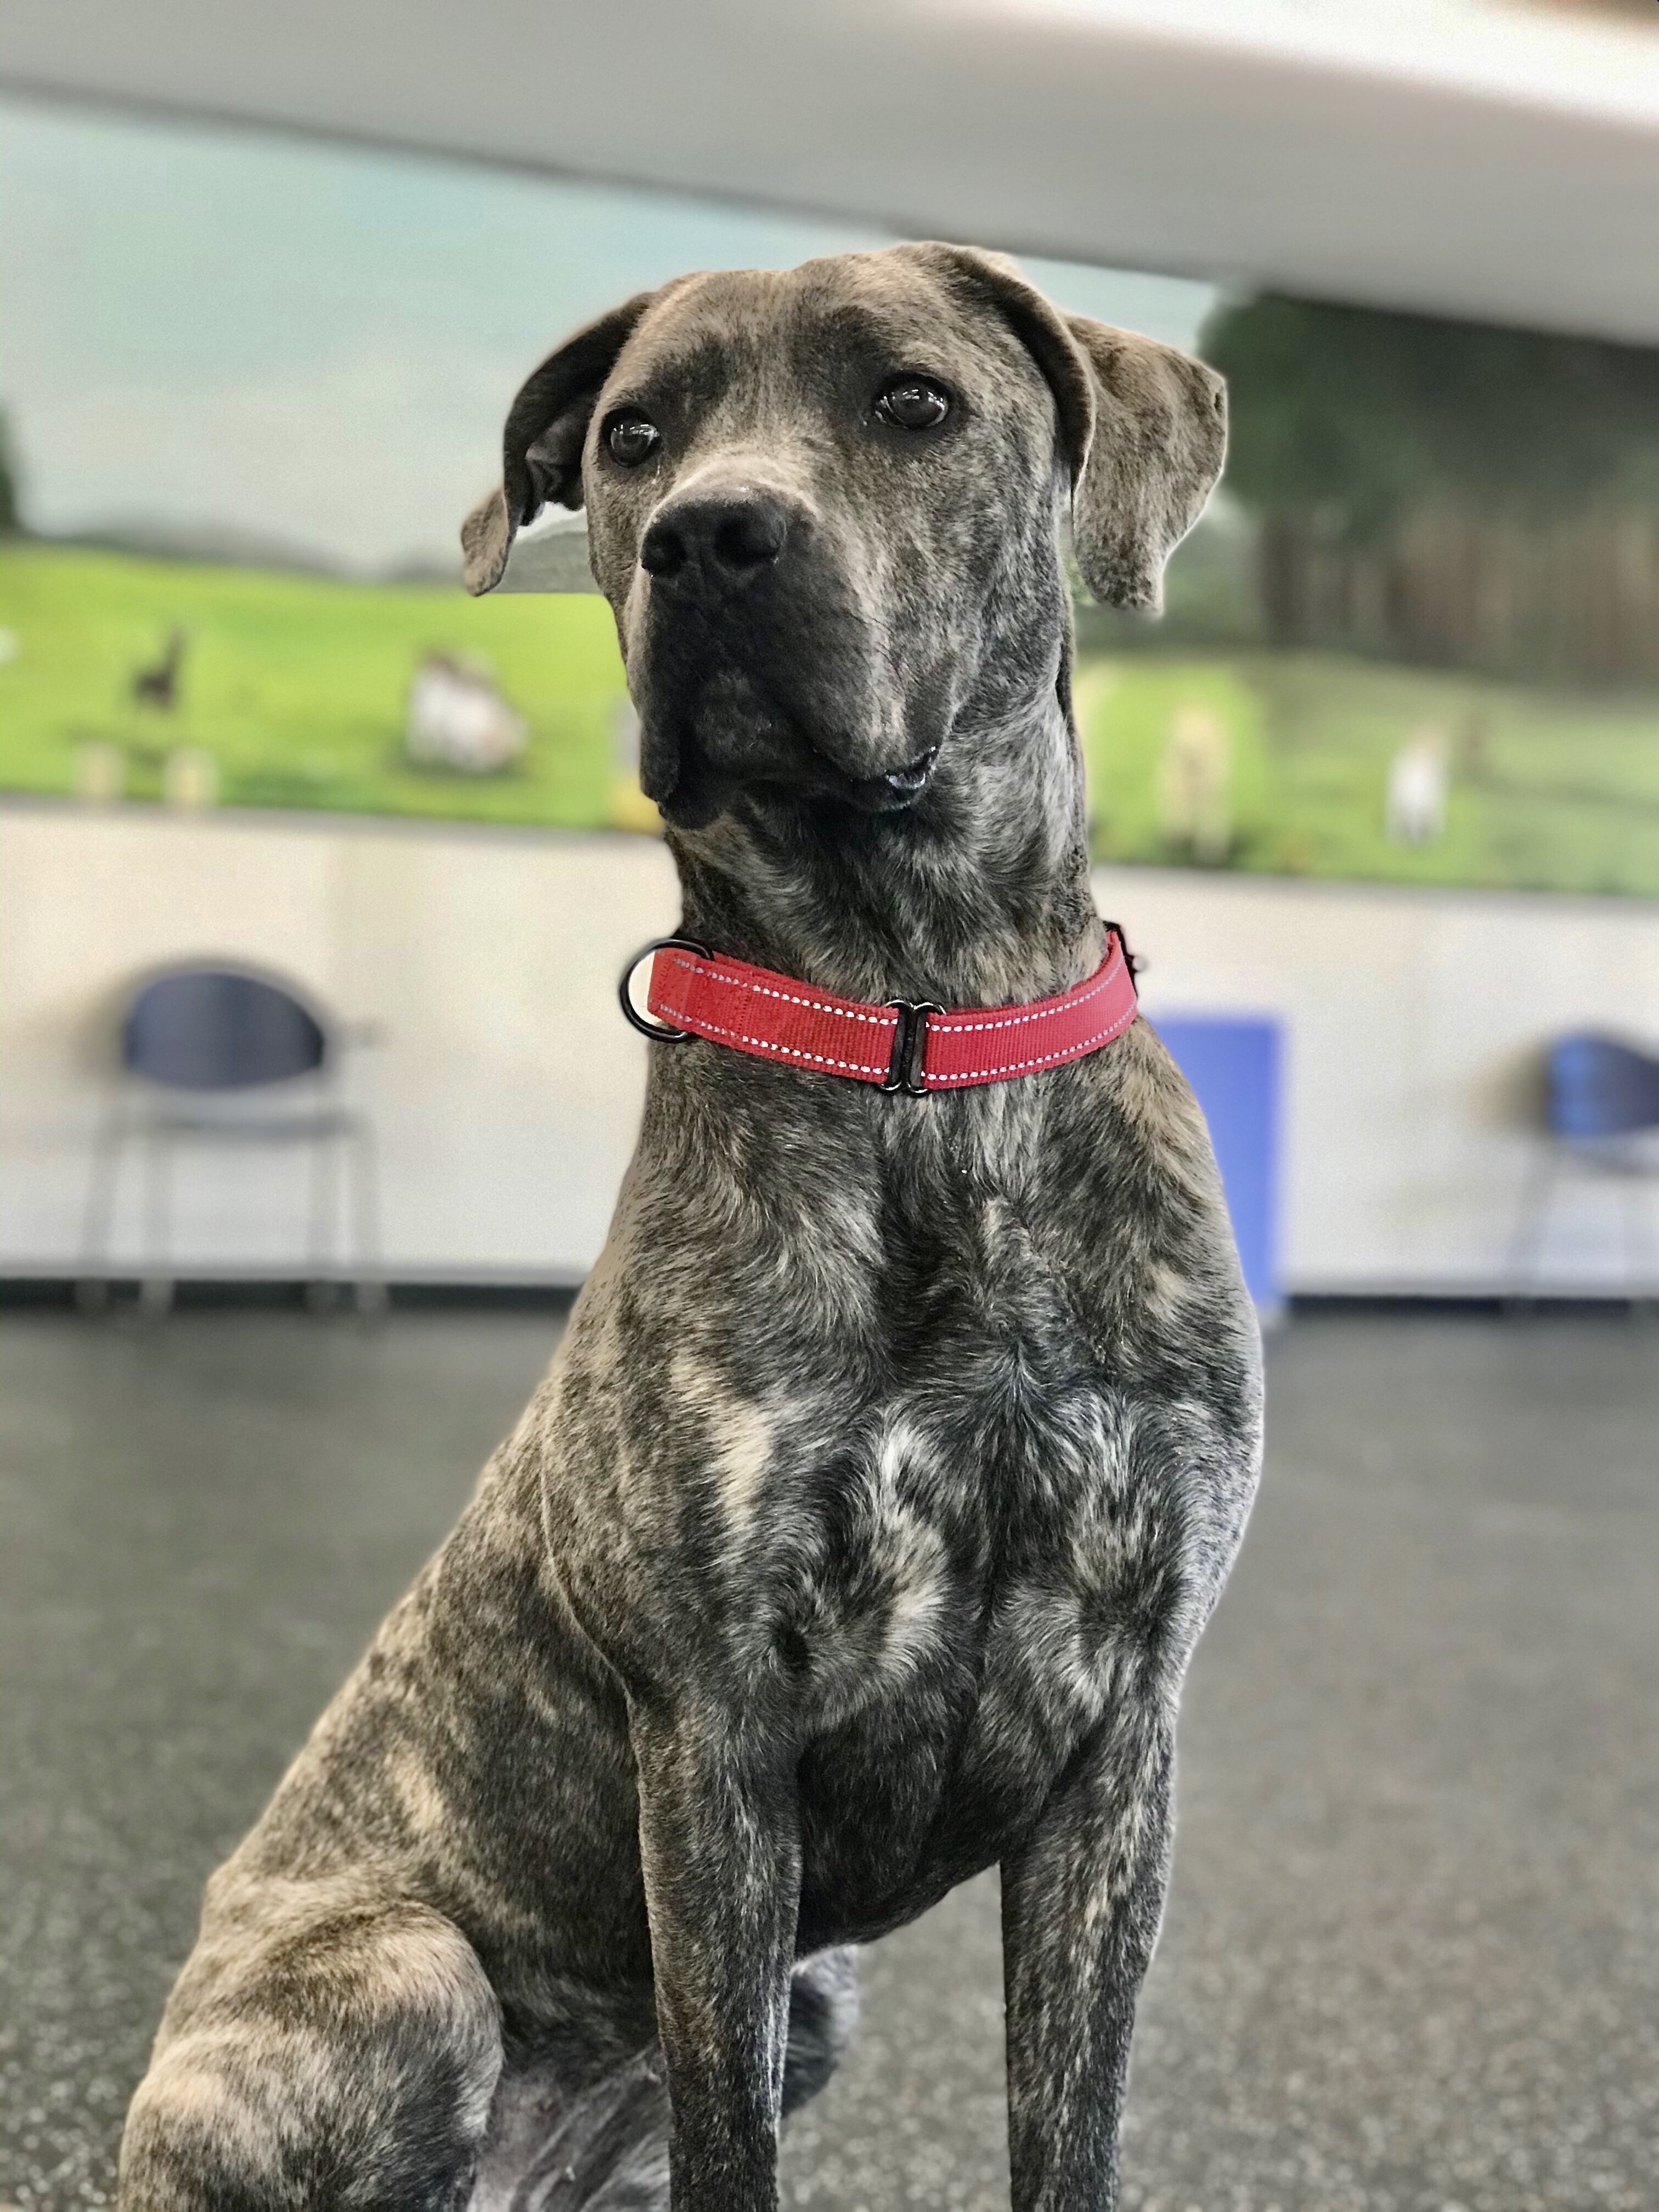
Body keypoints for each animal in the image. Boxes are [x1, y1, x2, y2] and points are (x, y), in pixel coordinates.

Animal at [117, 242, 1256, 2212]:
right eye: (635, 438)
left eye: (912, 401)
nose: (709, 540)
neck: (915, 1028)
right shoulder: (714, 1741)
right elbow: (733, 2136)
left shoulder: (1126, 1746)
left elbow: (1072, 2123)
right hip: (412, 1976)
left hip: (823, 1993)